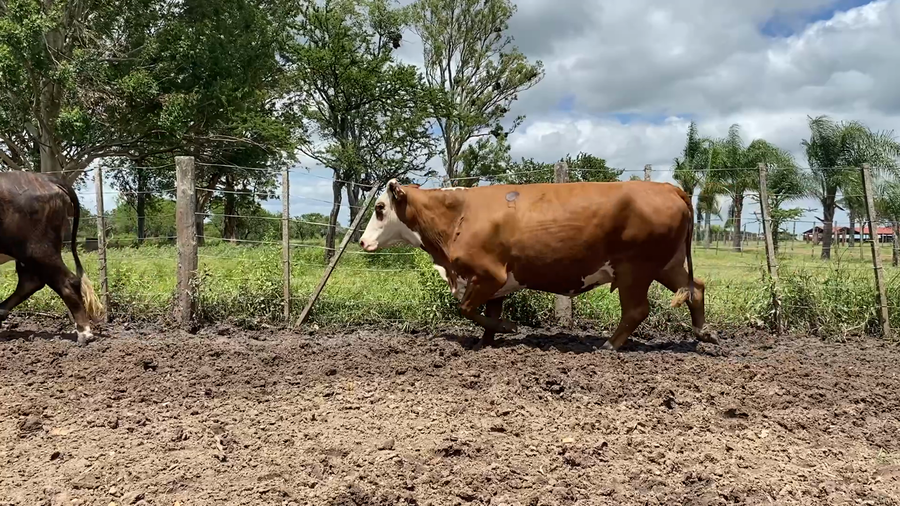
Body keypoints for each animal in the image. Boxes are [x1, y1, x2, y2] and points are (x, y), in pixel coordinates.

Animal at [0, 171, 104, 345]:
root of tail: (46, 178)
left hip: (38, 249)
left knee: (67, 281)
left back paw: (84, 332)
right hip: (28, 255)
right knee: (30, 282)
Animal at [358, 178, 719, 351]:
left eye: (379, 207)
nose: (362, 242)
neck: (459, 213)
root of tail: (668, 187)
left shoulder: (488, 275)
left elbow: (467, 309)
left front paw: (508, 329)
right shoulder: (495, 282)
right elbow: (487, 315)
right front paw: (486, 342)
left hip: (635, 268)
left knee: (636, 310)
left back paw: (609, 345)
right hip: (666, 264)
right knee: (695, 289)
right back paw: (704, 332)